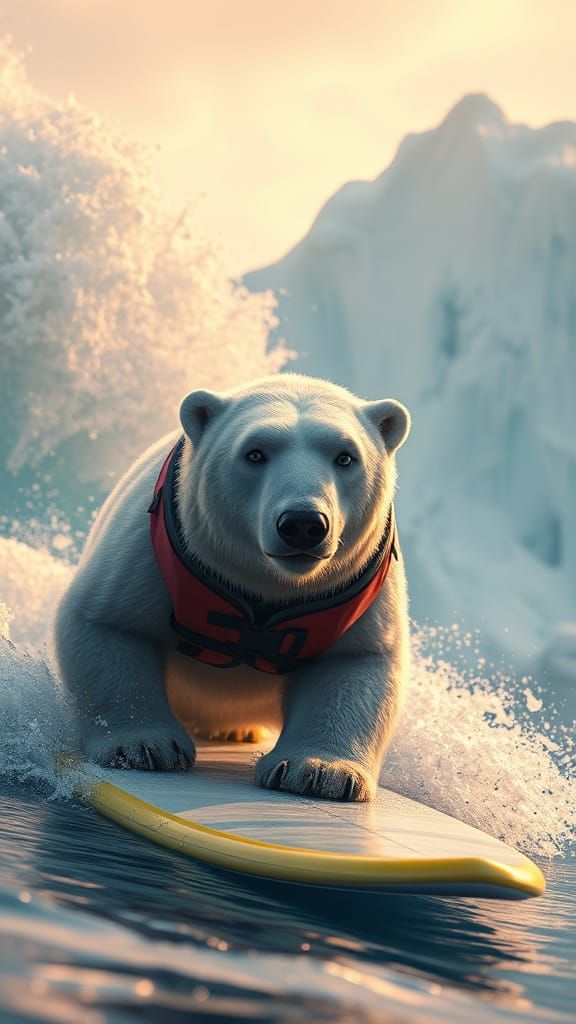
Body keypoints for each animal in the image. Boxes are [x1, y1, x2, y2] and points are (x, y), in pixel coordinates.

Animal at [54, 373, 411, 802]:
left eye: (345, 457)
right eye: (255, 453)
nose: (303, 523)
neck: (269, 585)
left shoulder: (358, 587)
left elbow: (356, 662)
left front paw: (320, 773)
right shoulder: (147, 553)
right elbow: (109, 624)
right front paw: (144, 747)